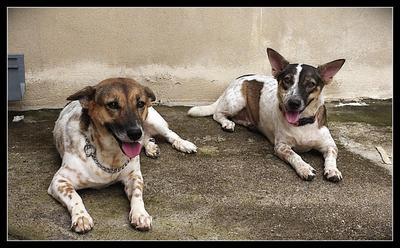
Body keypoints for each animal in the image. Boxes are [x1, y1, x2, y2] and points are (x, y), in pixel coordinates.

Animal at [48, 78, 197, 234]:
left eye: (140, 103)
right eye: (113, 104)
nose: (135, 133)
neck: (110, 153)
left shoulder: (134, 175)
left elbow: (137, 194)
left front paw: (140, 214)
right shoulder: (59, 181)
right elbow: (74, 196)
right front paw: (81, 216)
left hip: (152, 121)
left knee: (168, 133)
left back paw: (183, 144)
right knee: (146, 137)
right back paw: (150, 146)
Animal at [189, 48, 346, 182]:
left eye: (311, 84)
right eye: (287, 80)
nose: (293, 103)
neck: (302, 123)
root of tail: (237, 79)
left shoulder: (329, 144)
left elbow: (332, 153)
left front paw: (333, 170)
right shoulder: (281, 146)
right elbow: (294, 155)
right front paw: (304, 168)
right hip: (236, 102)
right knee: (218, 114)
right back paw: (227, 123)